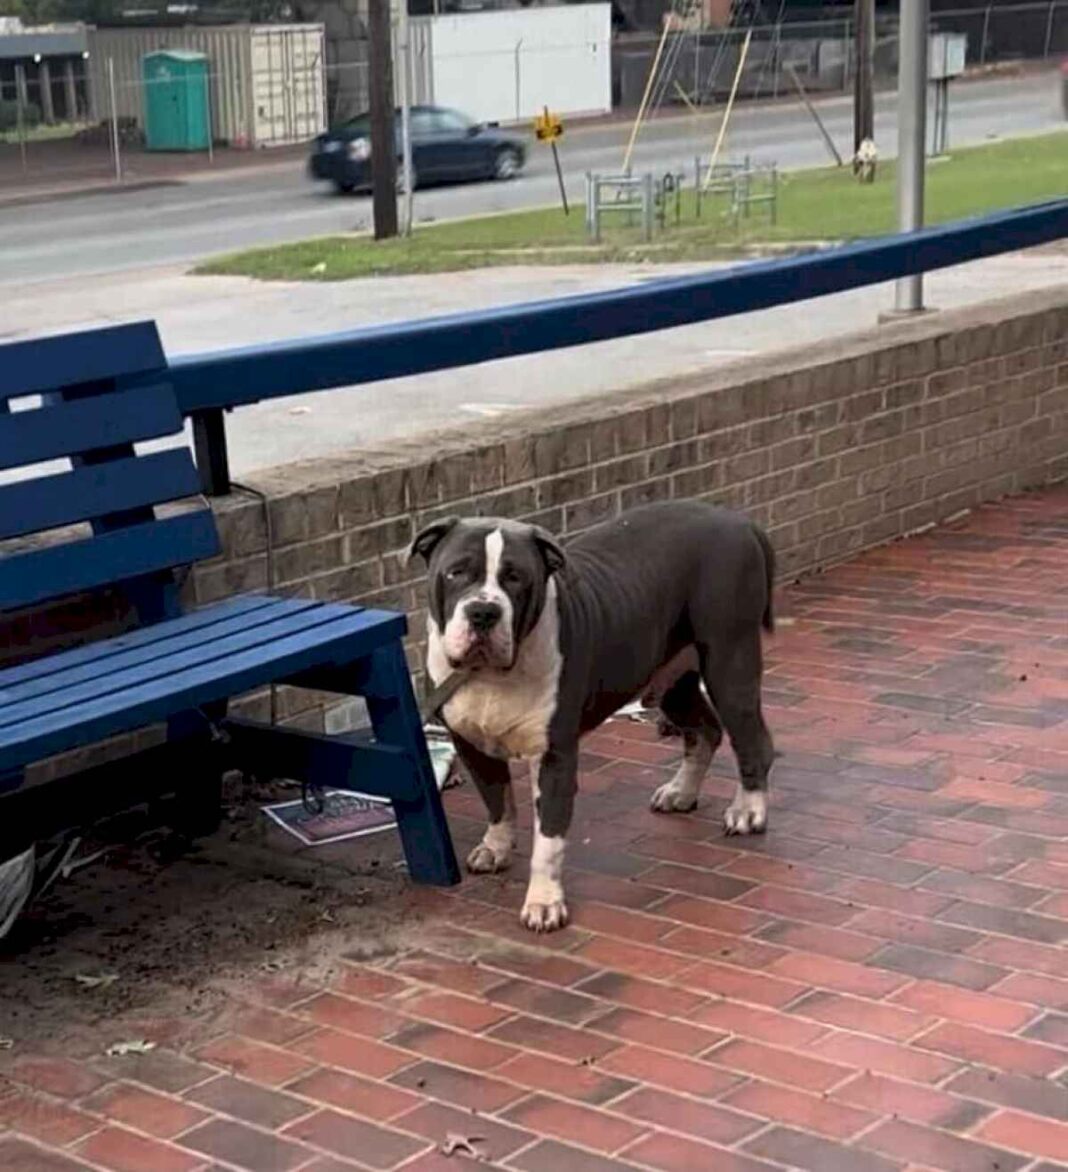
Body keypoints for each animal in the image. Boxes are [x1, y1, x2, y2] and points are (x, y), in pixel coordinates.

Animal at [410, 501, 778, 932]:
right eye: (455, 572)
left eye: (515, 577)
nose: (483, 611)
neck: (491, 677)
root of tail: (739, 520)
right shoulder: (470, 744)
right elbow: (496, 800)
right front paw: (496, 847)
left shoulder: (554, 757)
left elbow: (548, 841)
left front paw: (544, 903)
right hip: (671, 678)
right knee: (705, 730)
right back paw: (681, 792)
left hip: (729, 663)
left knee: (751, 740)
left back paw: (748, 810)